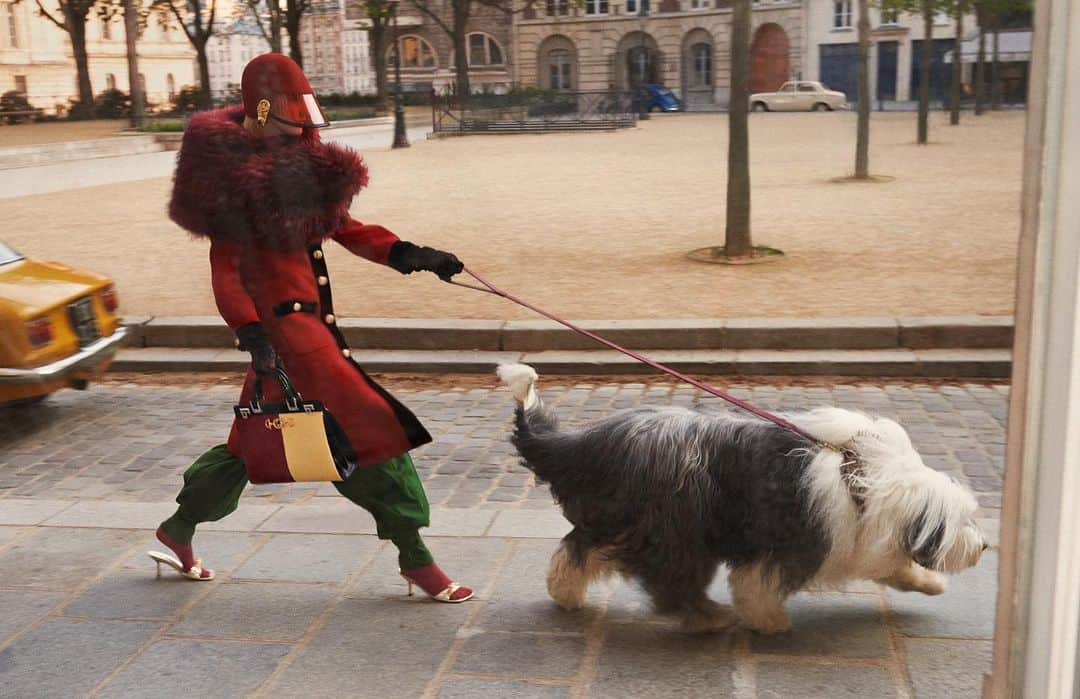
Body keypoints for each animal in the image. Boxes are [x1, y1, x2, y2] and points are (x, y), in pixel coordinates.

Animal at [496, 367, 989, 635]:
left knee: (576, 552)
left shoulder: (860, 539)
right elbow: (756, 585)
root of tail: (588, 444)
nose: (984, 546)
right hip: (674, 529)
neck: (864, 482)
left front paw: (930, 583)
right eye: (964, 520)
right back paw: (710, 617)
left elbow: (895, 566)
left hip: (615, 521)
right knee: (672, 581)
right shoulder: (795, 544)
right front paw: (768, 619)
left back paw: (565, 593)